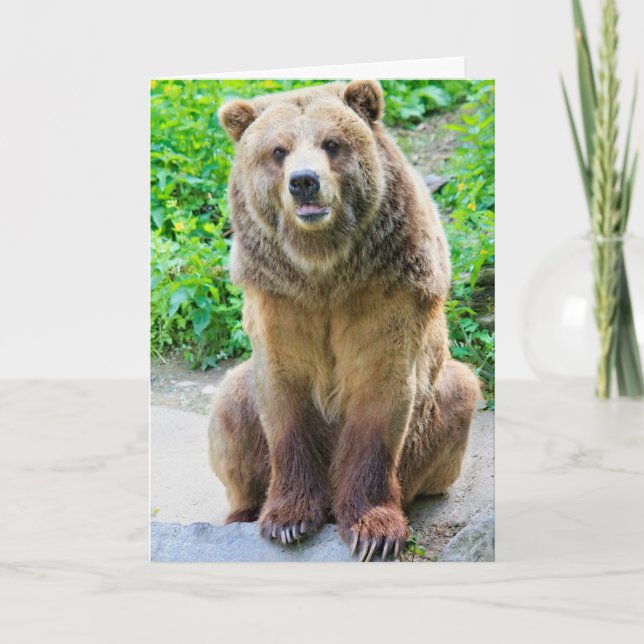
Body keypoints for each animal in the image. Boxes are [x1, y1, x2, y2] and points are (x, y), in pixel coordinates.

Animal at [208, 80, 480, 562]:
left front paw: (374, 532)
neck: (325, 269)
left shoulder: (387, 290)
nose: (304, 182)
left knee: (460, 390)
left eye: (332, 144)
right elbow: (282, 394)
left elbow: (381, 394)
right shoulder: (279, 298)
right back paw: (241, 513)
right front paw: (288, 521)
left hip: (438, 418)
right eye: (278, 150)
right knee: (229, 406)